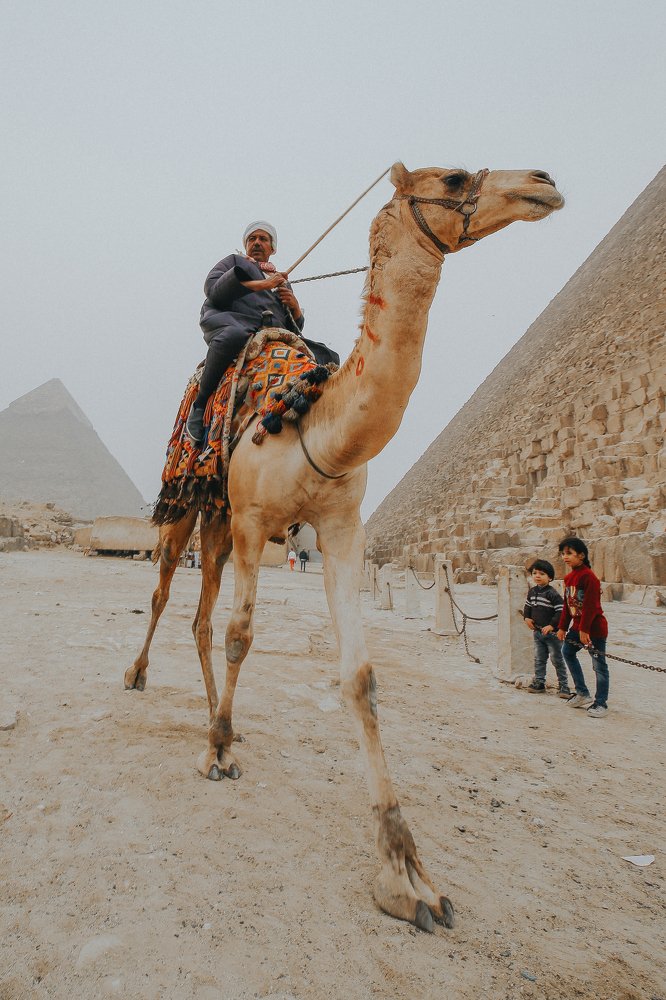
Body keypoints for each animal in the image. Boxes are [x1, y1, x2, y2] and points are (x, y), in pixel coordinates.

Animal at [125, 162, 563, 932]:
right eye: (454, 176)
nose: (543, 180)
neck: (314, 422)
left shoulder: (338, 529)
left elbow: (359, 678)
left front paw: (408, 876)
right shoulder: (255, 520)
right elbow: (242, 636)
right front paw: (216, 758)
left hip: (218, 524)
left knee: (199, 615)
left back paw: (216, 720)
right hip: (189, 507)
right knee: (166, 592)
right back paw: (144, 679)